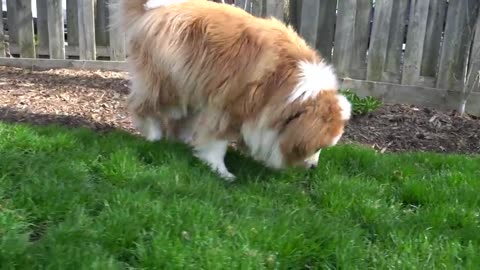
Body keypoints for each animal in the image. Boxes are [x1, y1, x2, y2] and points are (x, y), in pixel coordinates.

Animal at [114, 0, 350, 181]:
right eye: (317, 147)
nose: (314, 167)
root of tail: (153, 9)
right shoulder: (228, 107)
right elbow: (217, 144)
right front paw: (221, 171)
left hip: (192, 88)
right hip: (168, 87)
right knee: (143, 106)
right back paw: (153, 135)